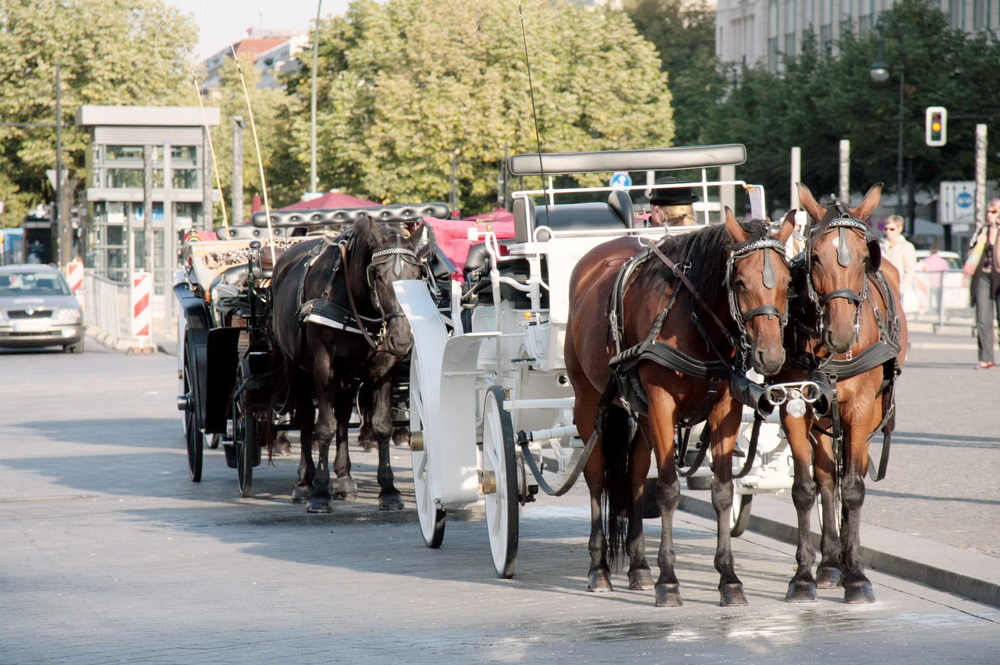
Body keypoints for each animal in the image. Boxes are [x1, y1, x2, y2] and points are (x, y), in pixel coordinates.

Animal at [270, 215, 422, 510]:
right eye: (377, 275)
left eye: (417, 274)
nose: (401, 337)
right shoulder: (323, 366)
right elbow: (324, 427)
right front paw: (320, 493)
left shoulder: (384, 366)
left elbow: (381, 424)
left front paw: (389, 490)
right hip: (298, 369)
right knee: (306, 419)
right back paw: (305, 482)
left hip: (347, 376)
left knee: (342, 415)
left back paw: (344, 478)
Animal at [568, 209, 792, 608]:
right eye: (739, 281)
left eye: (788, 280)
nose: (770, 355)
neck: (695, 319)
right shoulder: (661, 404)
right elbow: (669, 490)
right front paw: (668, 580)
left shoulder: (725, 409)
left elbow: (722, 491)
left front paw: (729, 579)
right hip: (590, 402)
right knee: (595, 476)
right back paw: (599, 569)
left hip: (639, 413)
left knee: (635, 474)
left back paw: (638, 566)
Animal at [776, 184, 912, 604]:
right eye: (815, 257)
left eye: (865, 256)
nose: (839, 331)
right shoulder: (794, 407)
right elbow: (805, 489)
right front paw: (803, 576)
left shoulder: (862, 410)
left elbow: (853, 488)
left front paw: (857, 576)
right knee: (824, 479)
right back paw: (828, 564)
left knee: (851, 474)